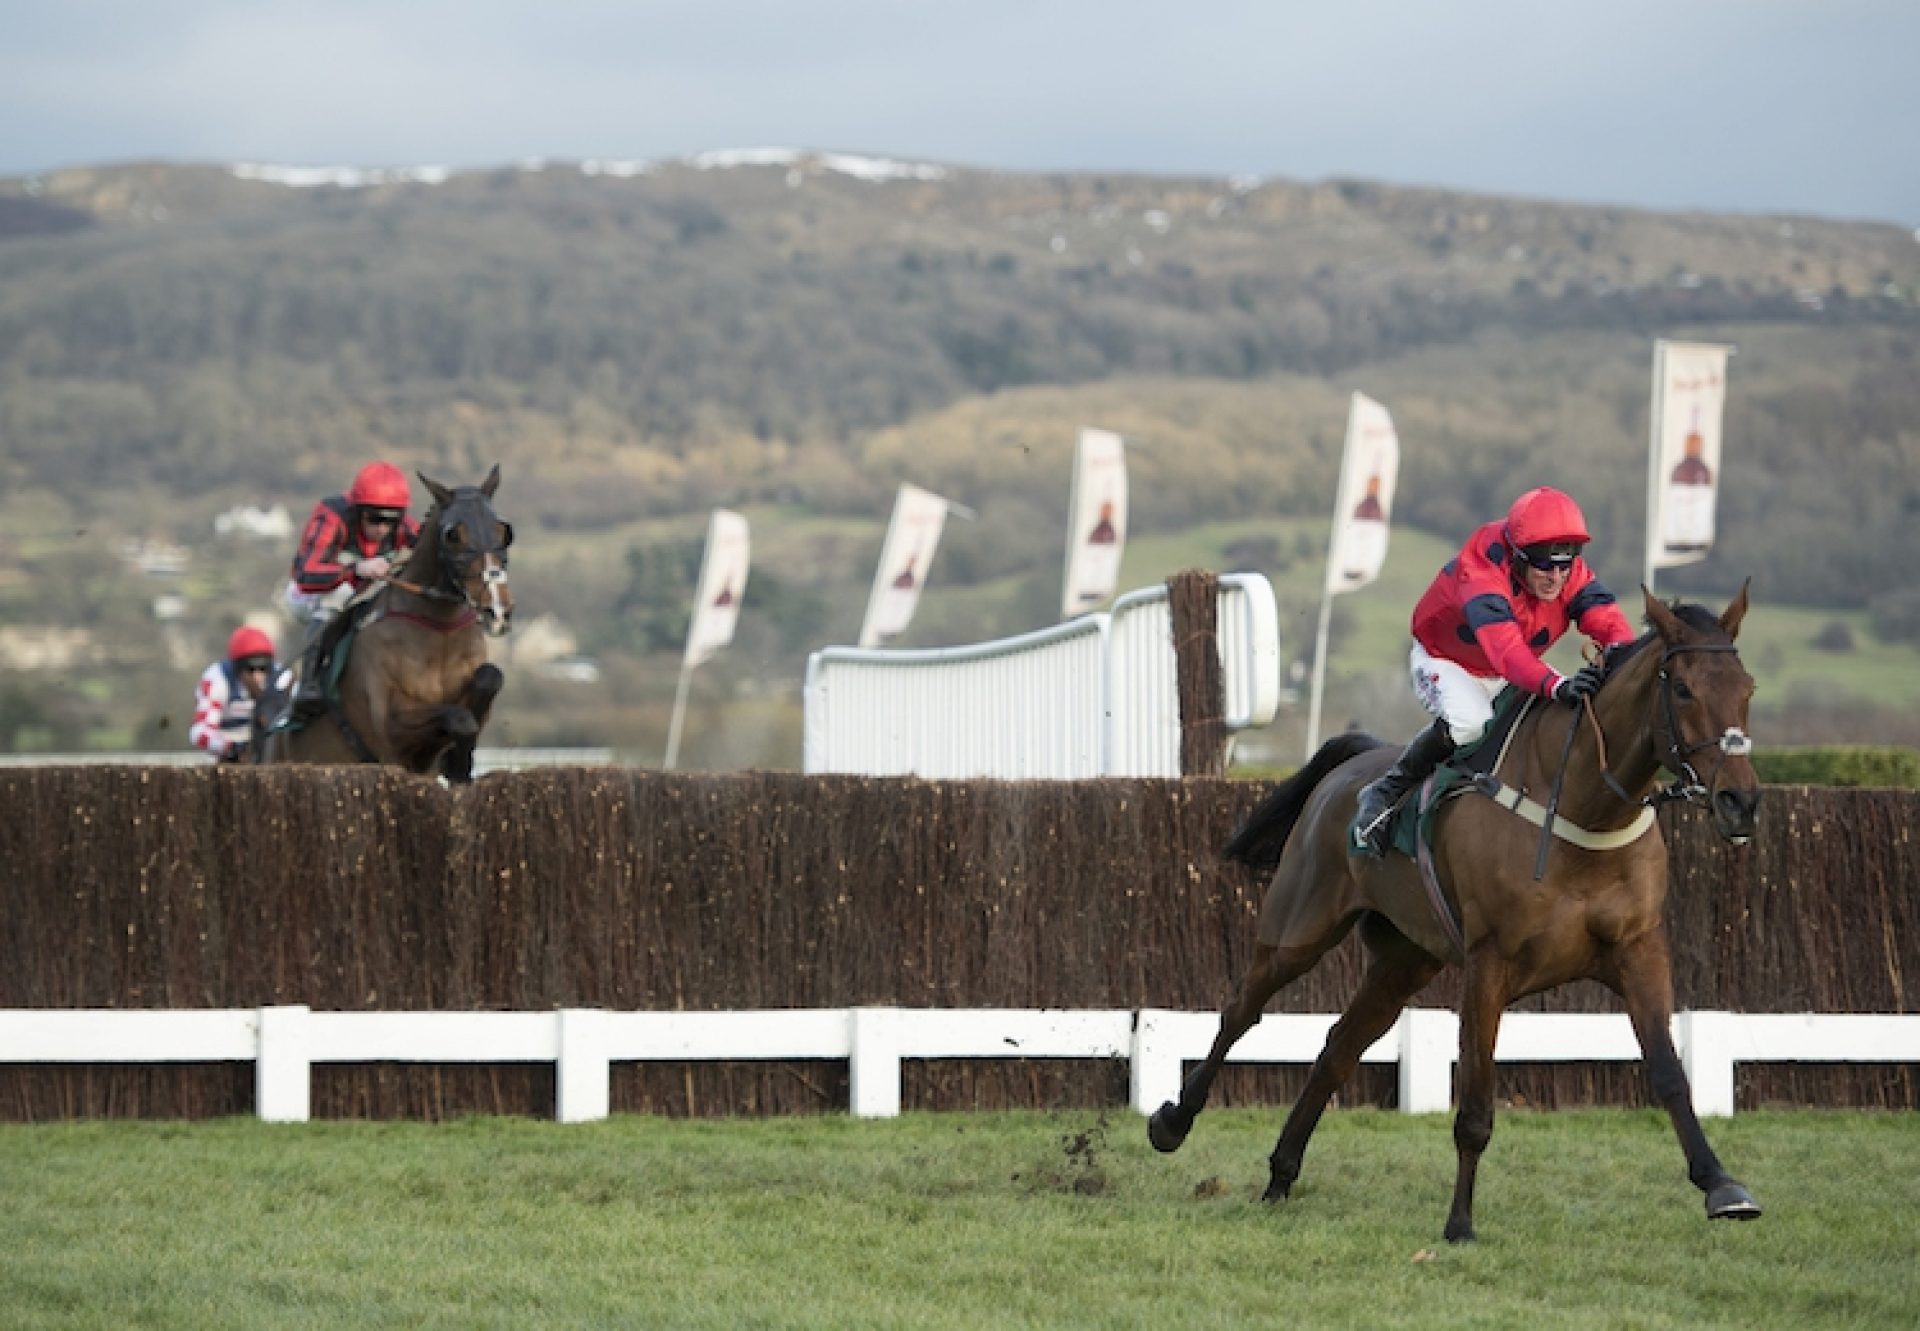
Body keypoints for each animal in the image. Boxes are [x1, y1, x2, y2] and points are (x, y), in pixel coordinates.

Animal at [255, 466, 514, 779]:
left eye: (503, 531)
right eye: (452, 535)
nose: (496, 610)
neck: (439, 629)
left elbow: (489, 678)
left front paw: (459, 762)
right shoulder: (392, 726)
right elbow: (459, 718)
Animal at [1144, 587, 1758, 1244]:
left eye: (1747, 688)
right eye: (1683, 689)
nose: (1741, 802)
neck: (1585, 810)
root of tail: (1354, 763)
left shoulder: (1638, 950)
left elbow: (1669, 1073)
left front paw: (1722, 1185)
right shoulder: (1489, 966)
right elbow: (1475, 1108)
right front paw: (1460, 1222)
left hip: (1406, 961)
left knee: (1338, 1048)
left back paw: (1281, 1176)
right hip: (1298, 930)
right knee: (1241, 1012)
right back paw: (1172, 1123)